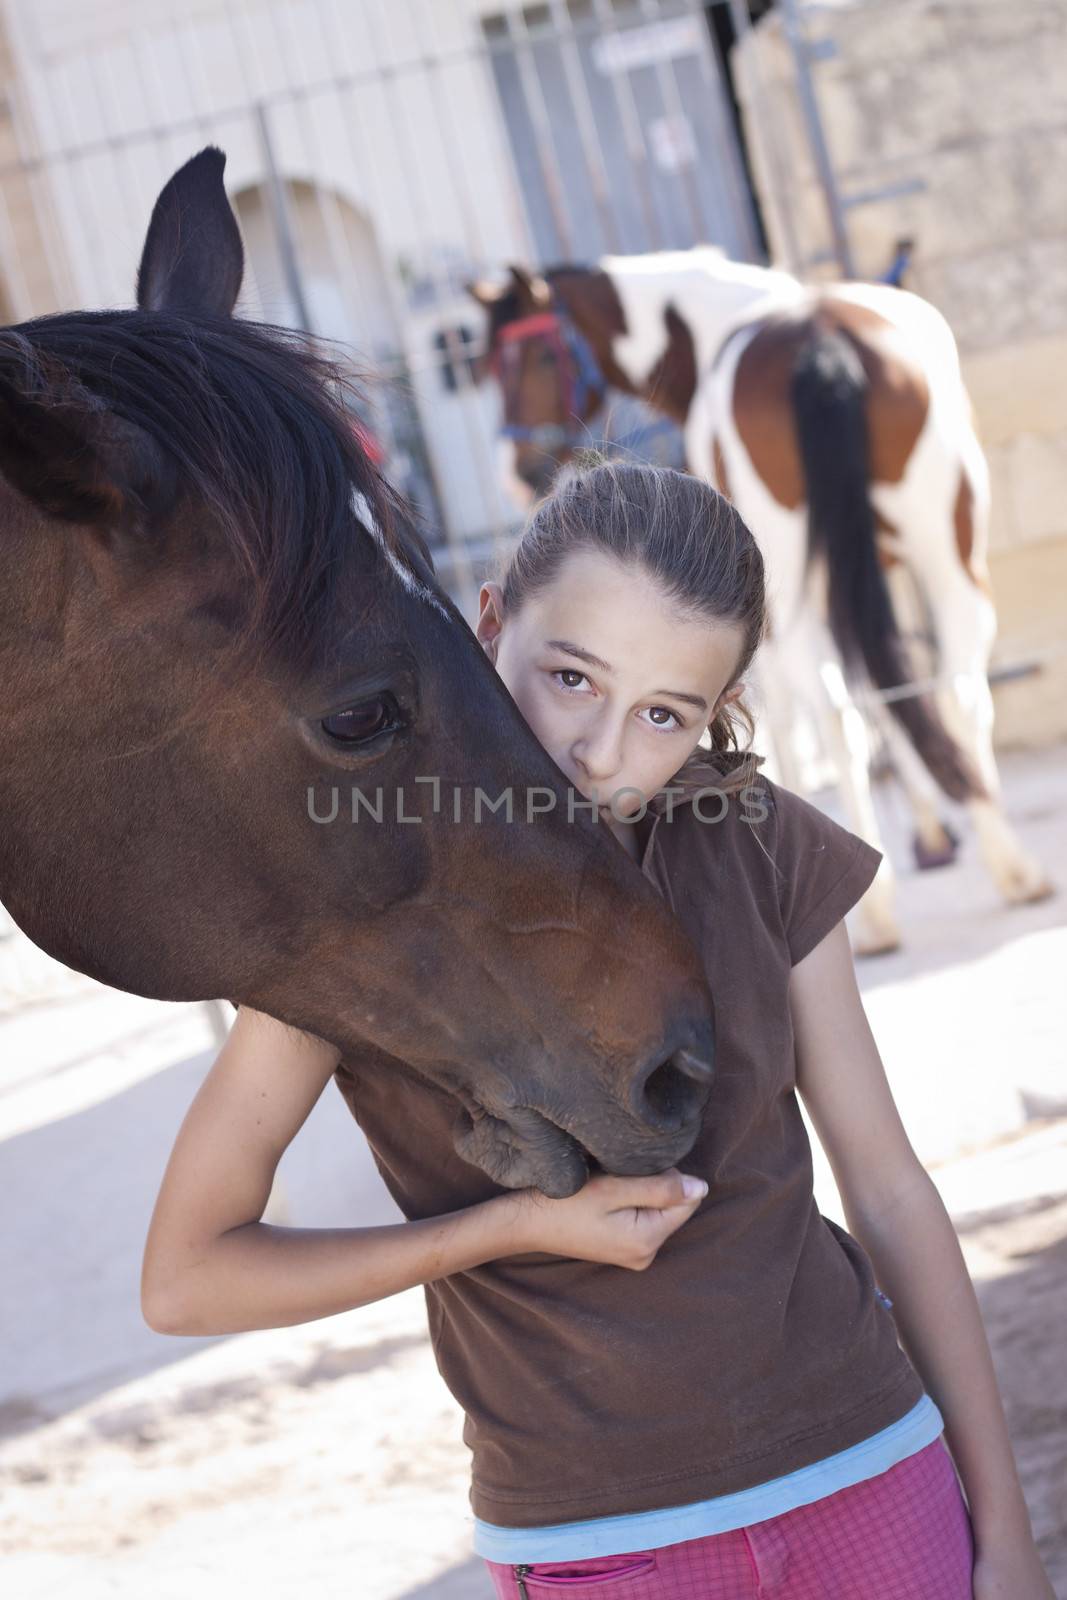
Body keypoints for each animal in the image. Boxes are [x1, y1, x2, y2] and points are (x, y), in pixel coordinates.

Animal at [473, 249, 1049, 947]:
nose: (514, 471)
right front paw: (933, 831)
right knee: (958, 692)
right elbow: (894, 689)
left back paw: (879, 913)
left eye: (539, 356)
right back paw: (1011, 866)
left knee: (838, 713)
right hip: (949, 553)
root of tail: (821, 344)